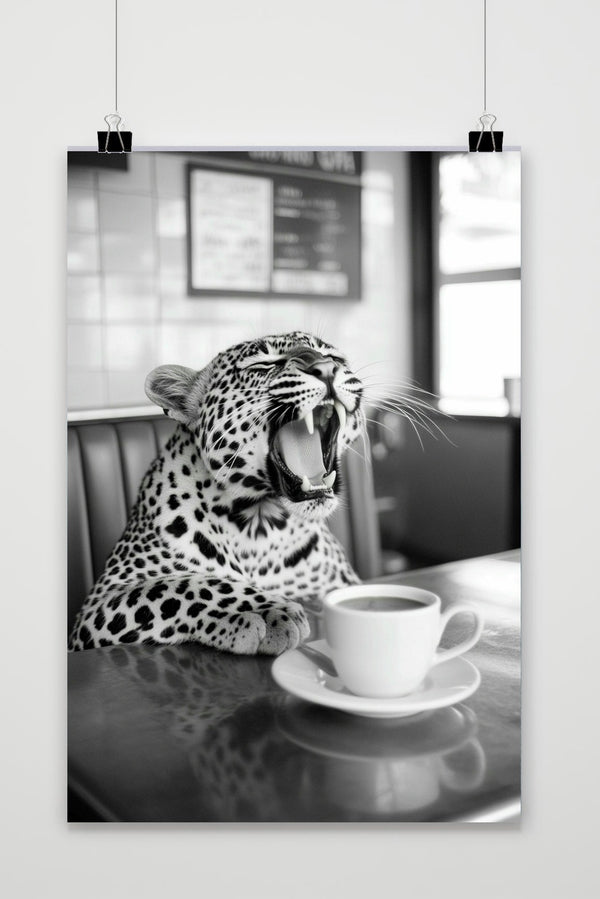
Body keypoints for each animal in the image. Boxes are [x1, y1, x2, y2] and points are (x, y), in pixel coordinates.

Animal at [68, 331, 365, 655]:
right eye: (263, 364)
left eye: (334, 357)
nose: (326, 369)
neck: (261, 523)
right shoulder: (102, 600)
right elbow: (182, 584)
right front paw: (265, 610)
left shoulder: (341, 584)